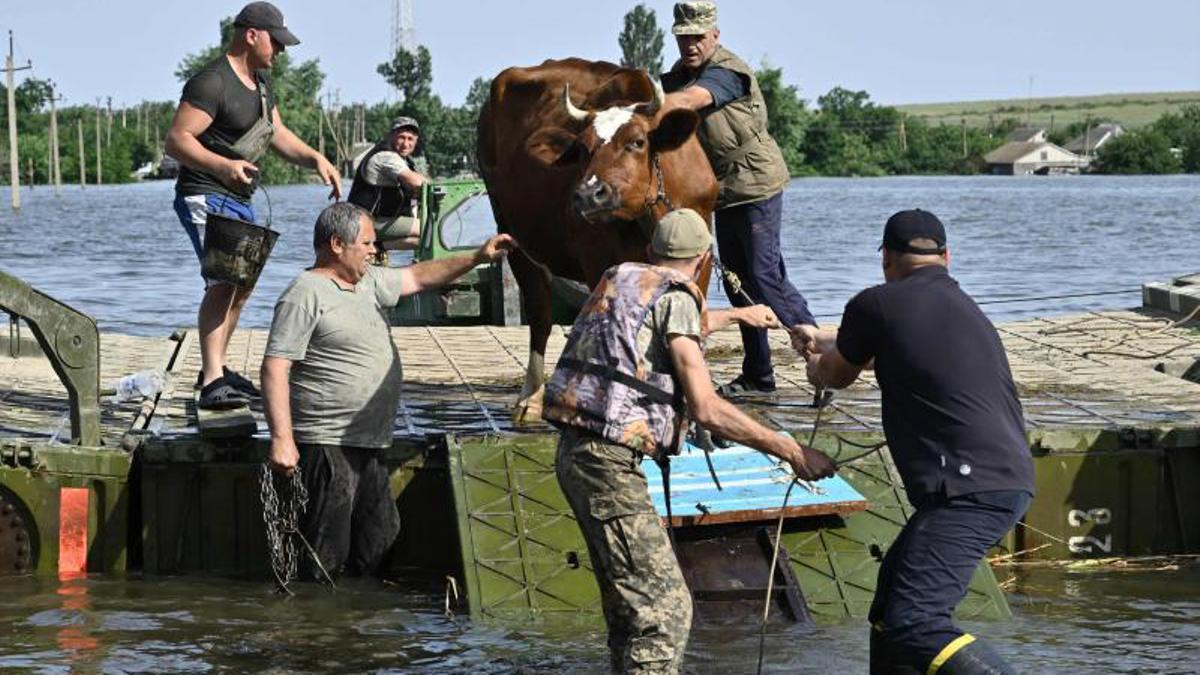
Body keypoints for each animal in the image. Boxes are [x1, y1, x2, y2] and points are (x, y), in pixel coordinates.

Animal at [477, 61, 715, 420]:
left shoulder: (705, 259)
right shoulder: (598, 262)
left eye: (637, 142)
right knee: (540, 314)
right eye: (582, 149)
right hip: (512, 233)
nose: (588, 194)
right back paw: (530, 397)